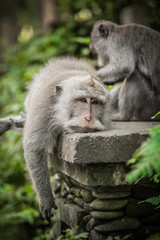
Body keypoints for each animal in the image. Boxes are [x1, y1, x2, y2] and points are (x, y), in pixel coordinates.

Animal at [0, 57, 110, 220]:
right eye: (83, 100)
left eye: (95, 102)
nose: (88, 118)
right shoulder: (45, 107)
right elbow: (34, 147)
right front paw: (46, 197)